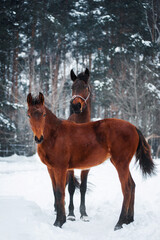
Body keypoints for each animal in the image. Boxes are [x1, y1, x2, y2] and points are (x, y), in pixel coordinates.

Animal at [26, 91, 154, 229]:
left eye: (44, 114)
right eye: (29, 115)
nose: (38, 138)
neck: (54, 134)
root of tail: (134, 127)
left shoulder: (61, 168)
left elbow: (61, 192)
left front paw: (59, 222)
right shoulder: (51, 168)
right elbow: (56, 191)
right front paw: (61, 219)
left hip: (121, 164)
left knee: (127, 188)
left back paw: (120, 223)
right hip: (120, 163)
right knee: (133, 185)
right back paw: (129, 220)